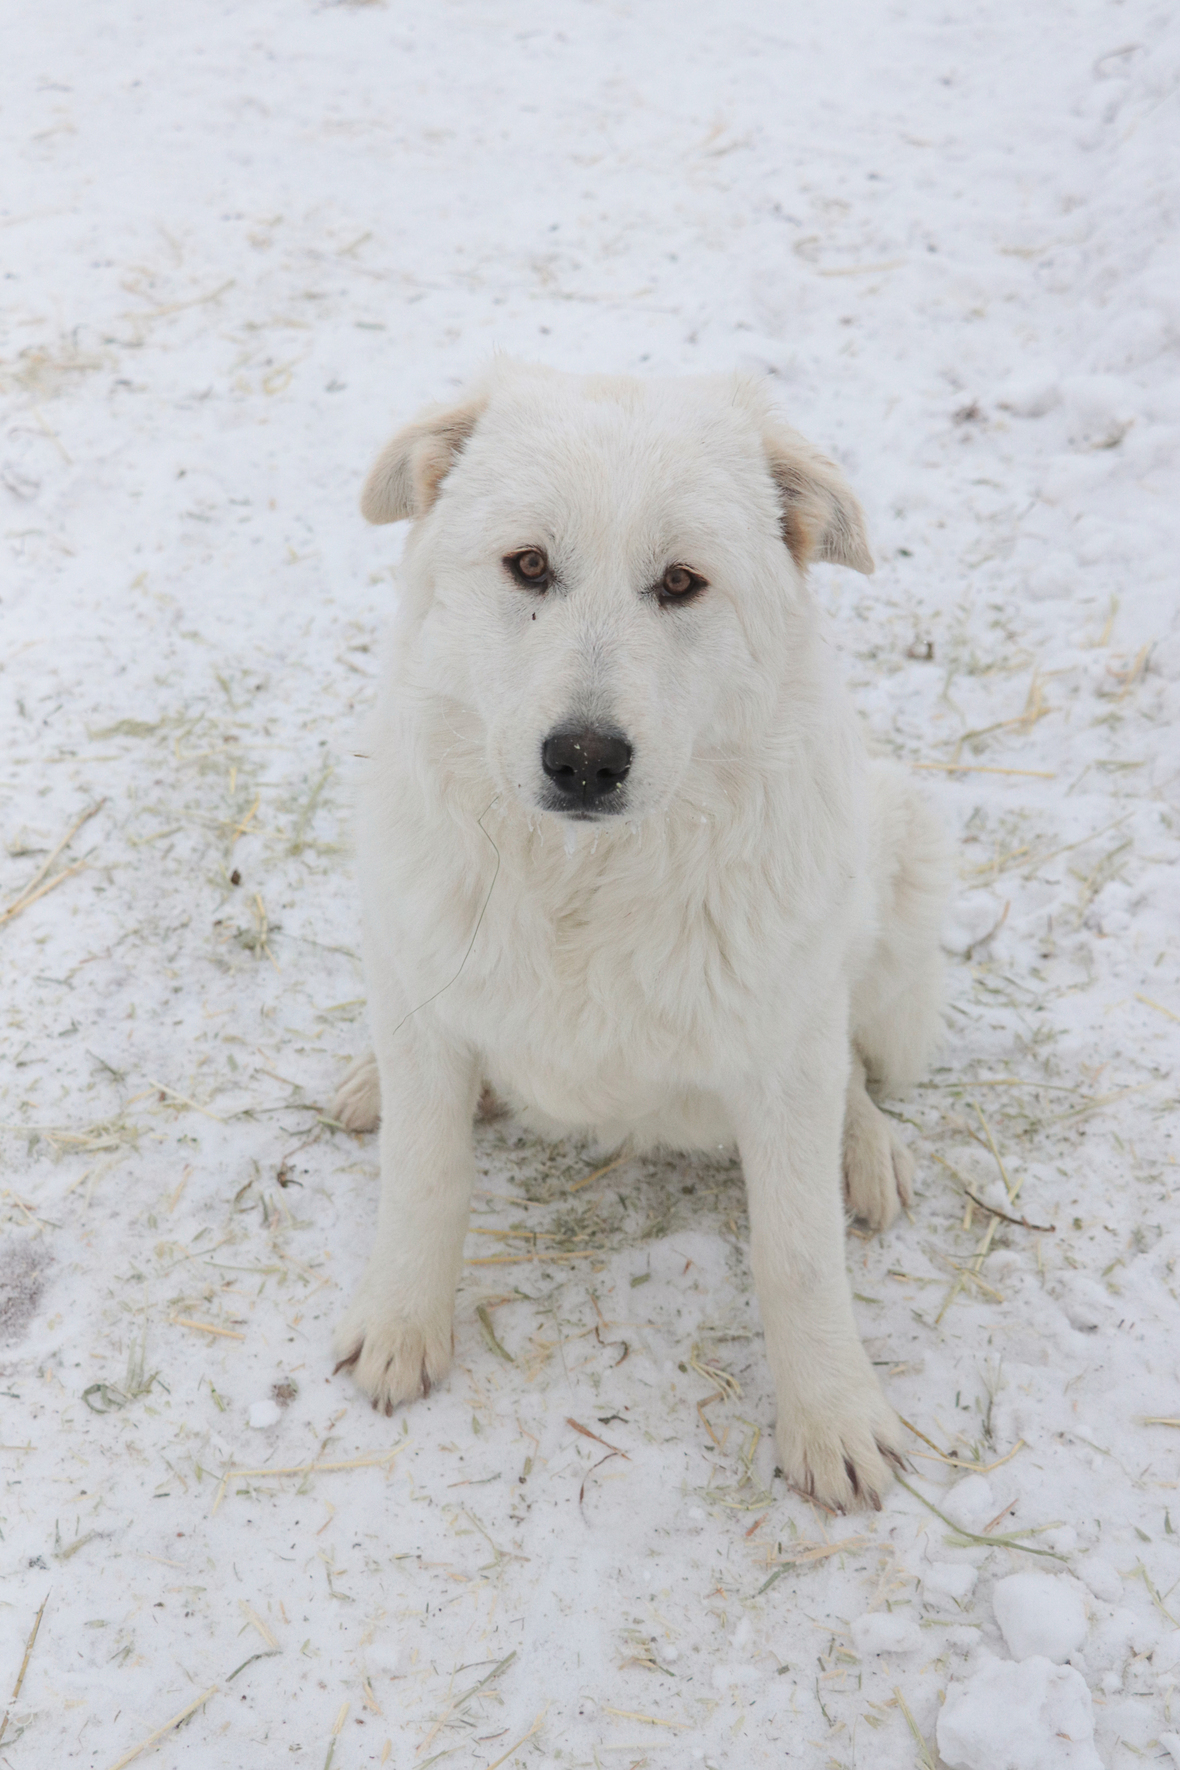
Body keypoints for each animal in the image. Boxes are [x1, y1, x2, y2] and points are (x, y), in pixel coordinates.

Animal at [332, 366, 948, 1515]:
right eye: (530, 565)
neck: (584, 884)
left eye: (680, 583)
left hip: (896, 876)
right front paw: (402, 1321)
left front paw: (831, 1414)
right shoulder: (427, 1014)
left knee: (852, 1057)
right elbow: (424, 1180)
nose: (583, 759)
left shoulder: (782, 1052)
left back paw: (864, 1144)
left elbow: (797, 1254)